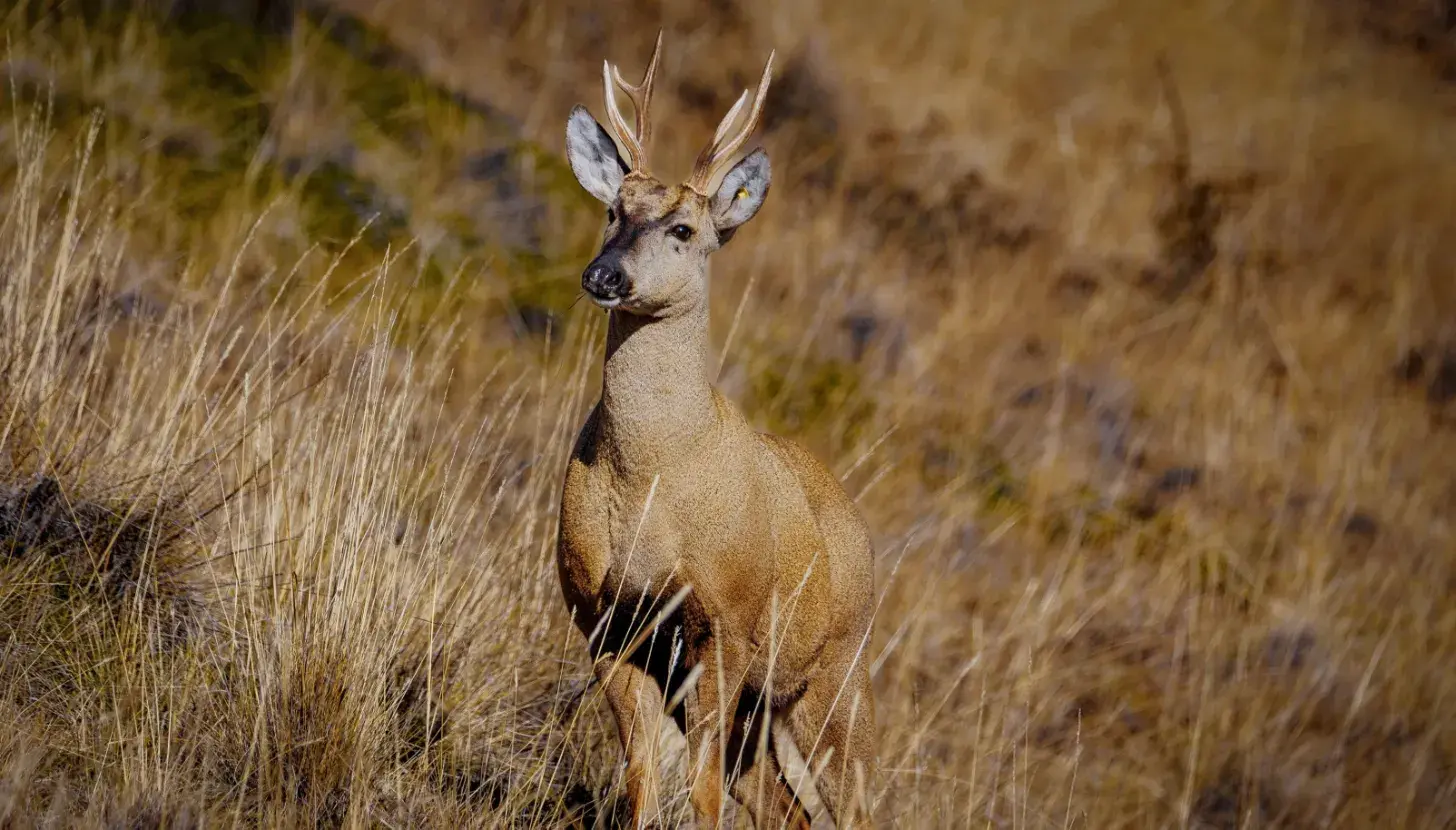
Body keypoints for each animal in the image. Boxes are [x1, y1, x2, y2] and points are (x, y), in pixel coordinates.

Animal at [555, 33, 877, 830]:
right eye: (614, 209)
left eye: (685, 229)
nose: (604, 274)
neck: (649, 479)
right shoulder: (604, 618)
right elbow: (641, 775)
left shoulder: (725, 623)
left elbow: (697, 787)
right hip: (763, 707)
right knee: (781, 805)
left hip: (837, 675)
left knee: (861, 800)